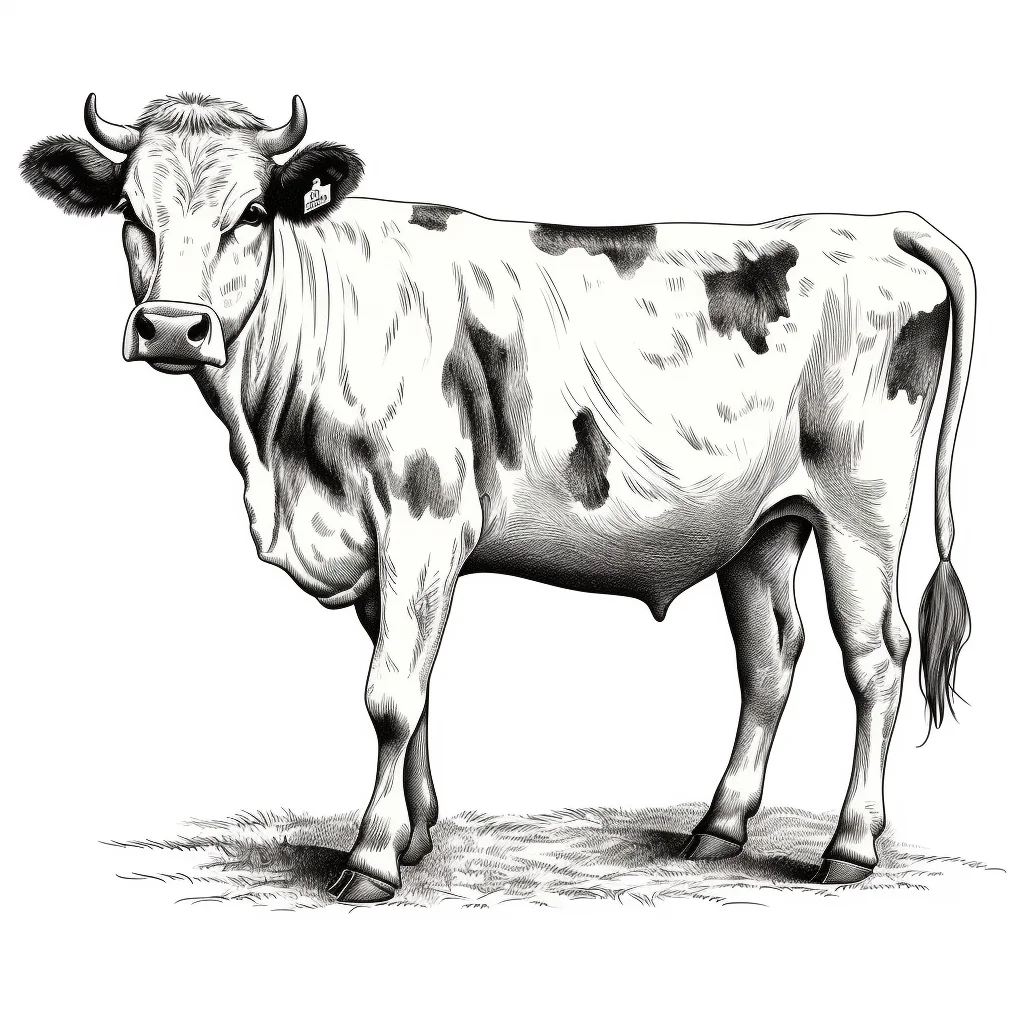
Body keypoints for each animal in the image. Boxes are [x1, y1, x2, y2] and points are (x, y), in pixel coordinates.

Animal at [21, 93, 973, 904]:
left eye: (251, 213)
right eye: (130, 211)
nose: (172, 328)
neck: (276, 453)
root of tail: (874, 224)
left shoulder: (423, 518)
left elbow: (390, 694)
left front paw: (372, 860)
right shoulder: (381, 545)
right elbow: (416, 684)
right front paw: (415, 836)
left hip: (861, 510)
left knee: (877, 658)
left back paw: (850, 845)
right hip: (762, 525)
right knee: (771, 657)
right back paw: (719, 827)